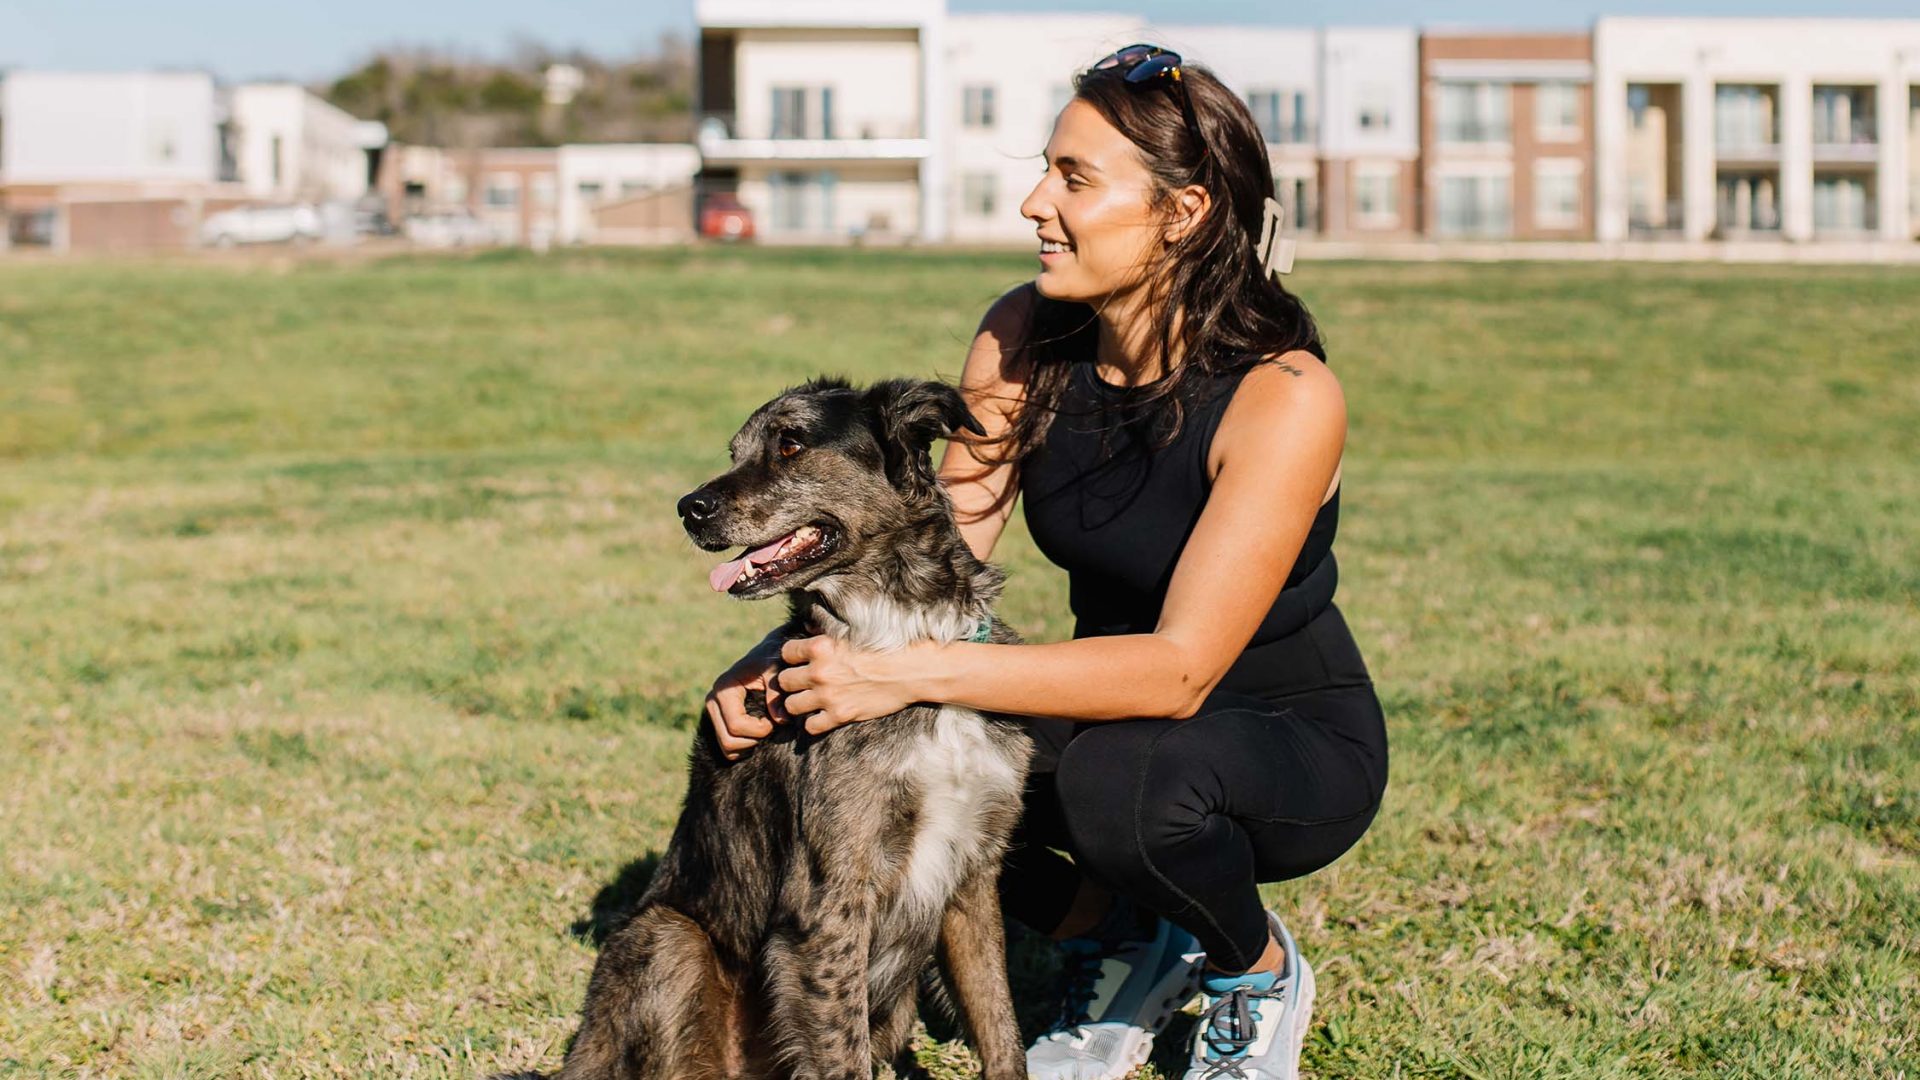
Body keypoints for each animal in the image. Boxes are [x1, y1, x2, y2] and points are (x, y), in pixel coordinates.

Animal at [549, 376, 1044, 1076]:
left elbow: (1000, 1027)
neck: (901, 649)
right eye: (735, 452)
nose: (689, 508)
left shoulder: (974, 875)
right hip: (669, 938)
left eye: (790, 444)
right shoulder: (827, 902)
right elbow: (843, 1052)